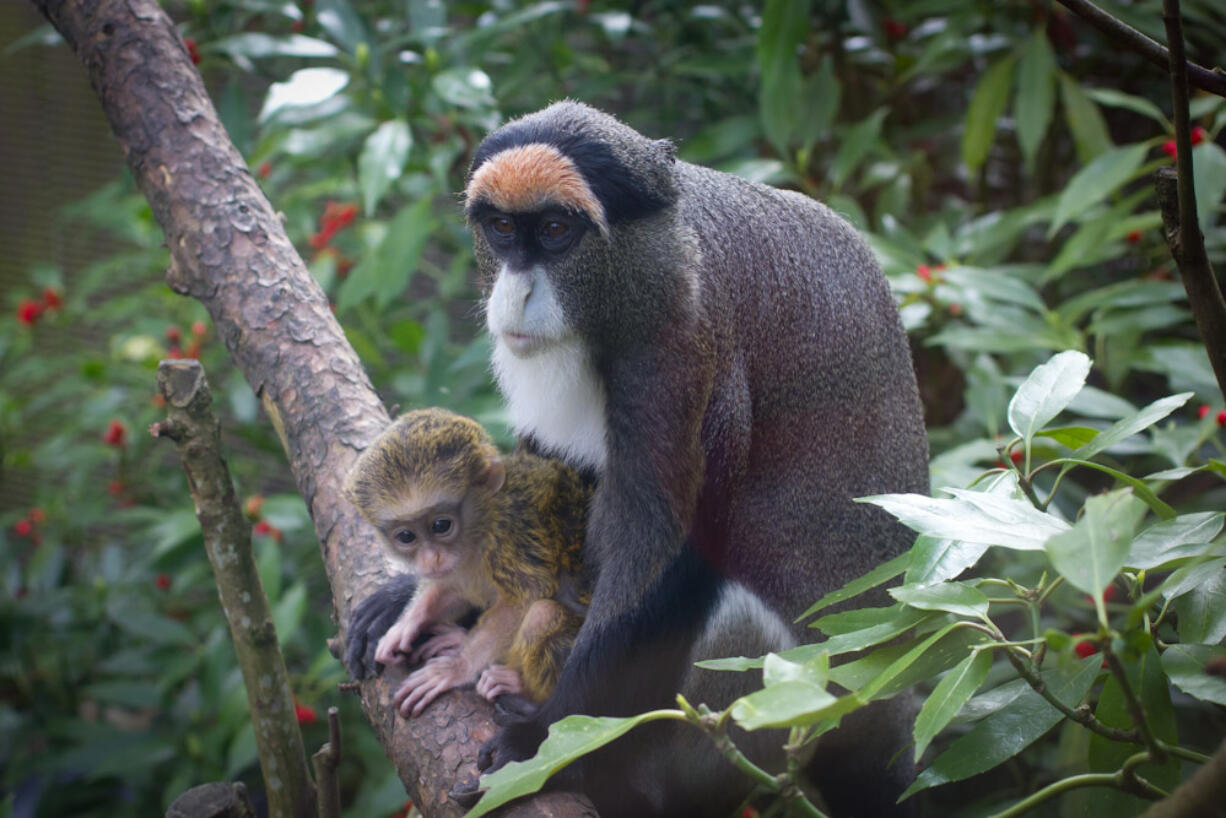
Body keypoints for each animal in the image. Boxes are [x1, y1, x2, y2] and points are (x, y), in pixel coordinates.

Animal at [345, 409, 593, 716]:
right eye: (406, 536)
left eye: (441, 525)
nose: (432, 558)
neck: (479, 531)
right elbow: (452, 588)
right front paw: (407, 623)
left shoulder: (512, 534)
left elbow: (526, 598)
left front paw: (455, 669)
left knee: (542, 614)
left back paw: (519, 688)